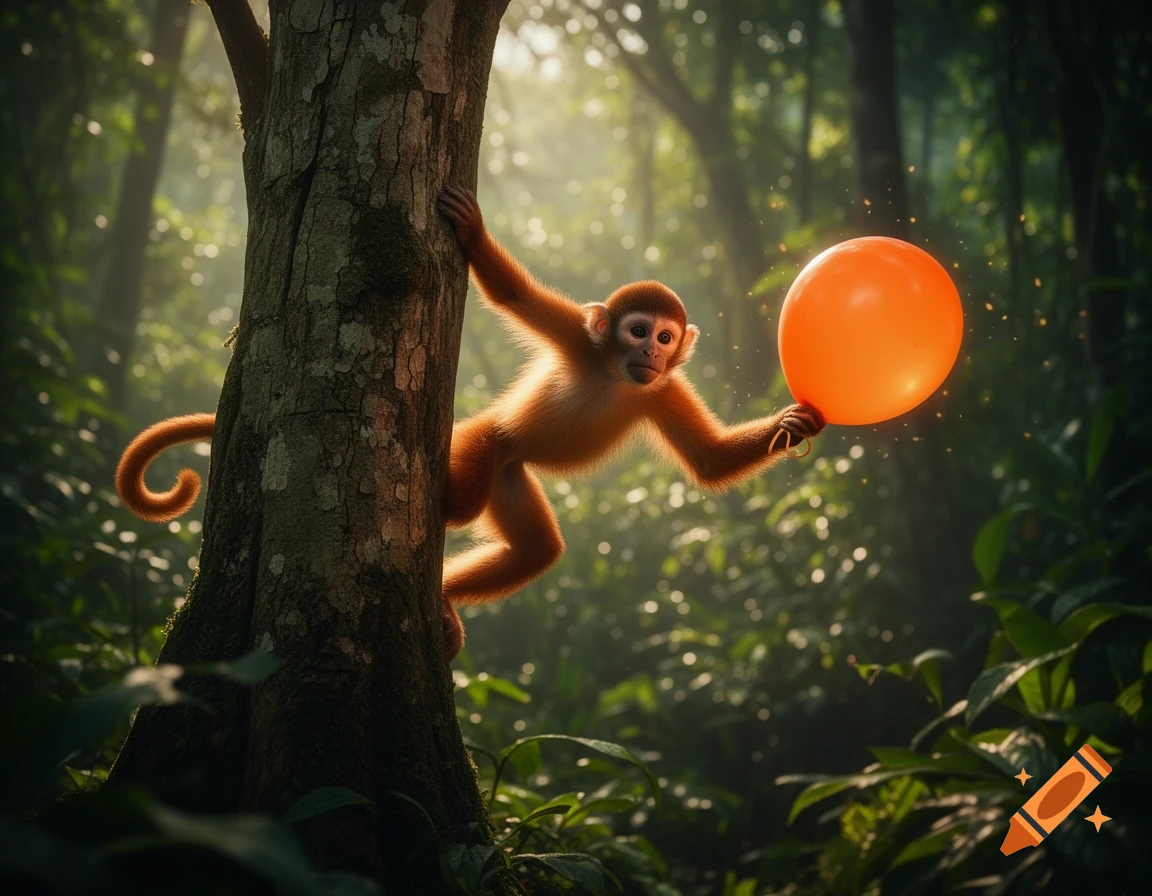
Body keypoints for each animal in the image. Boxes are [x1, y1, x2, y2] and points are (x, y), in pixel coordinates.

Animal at [114, 186, 825, 662]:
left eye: (666, 336)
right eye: (637, 330)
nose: (651, 352)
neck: (617, 375)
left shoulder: (664, 390)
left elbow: (707, 461)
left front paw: (803, 421)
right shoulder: (581, 340)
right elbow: (511, 296)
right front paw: (476, 236)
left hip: (511, 475)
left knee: (537, 550)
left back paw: (448, 602)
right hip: (484, 444)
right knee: (470, 496)